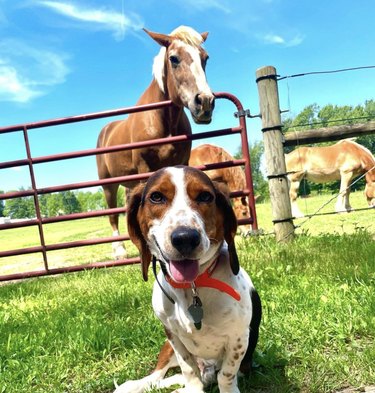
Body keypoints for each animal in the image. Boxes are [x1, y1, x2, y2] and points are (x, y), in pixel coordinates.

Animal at [97, 25, 214, 258]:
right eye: (174, 58)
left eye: (205, 58)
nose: (205, 102)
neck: (162, 121)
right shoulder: (145, 167)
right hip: (108, 185)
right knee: (112, 215)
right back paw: (119, 251)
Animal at [116, 166, 262, 392]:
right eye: (156, 197)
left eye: (205, 196)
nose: (185, 238)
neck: (191, 287)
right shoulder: (173, 336)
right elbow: (188, 369)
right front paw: (193, 387)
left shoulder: (239, 339)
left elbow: (226, 375)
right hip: (166, 347)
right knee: (157, 377)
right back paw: (134, 385)